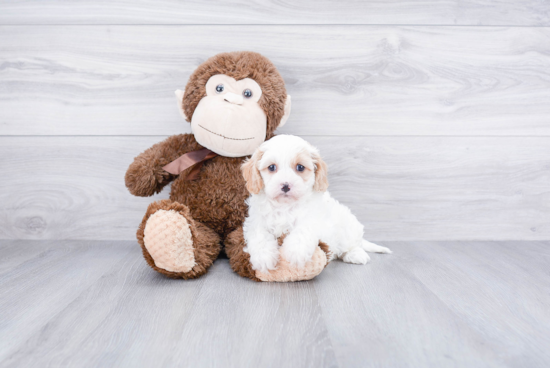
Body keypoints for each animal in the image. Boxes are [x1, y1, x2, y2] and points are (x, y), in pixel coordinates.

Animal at [242, 135, 392, 274]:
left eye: (300, 167)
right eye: (272, 167)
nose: (285, 185)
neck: (284, 206)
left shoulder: (313, 219)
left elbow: (302, 231)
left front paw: (295, 252)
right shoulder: (256, 222)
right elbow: (259, 236)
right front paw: (263, 258)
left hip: (348, 227)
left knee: (353, 244)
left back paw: (356, 254)